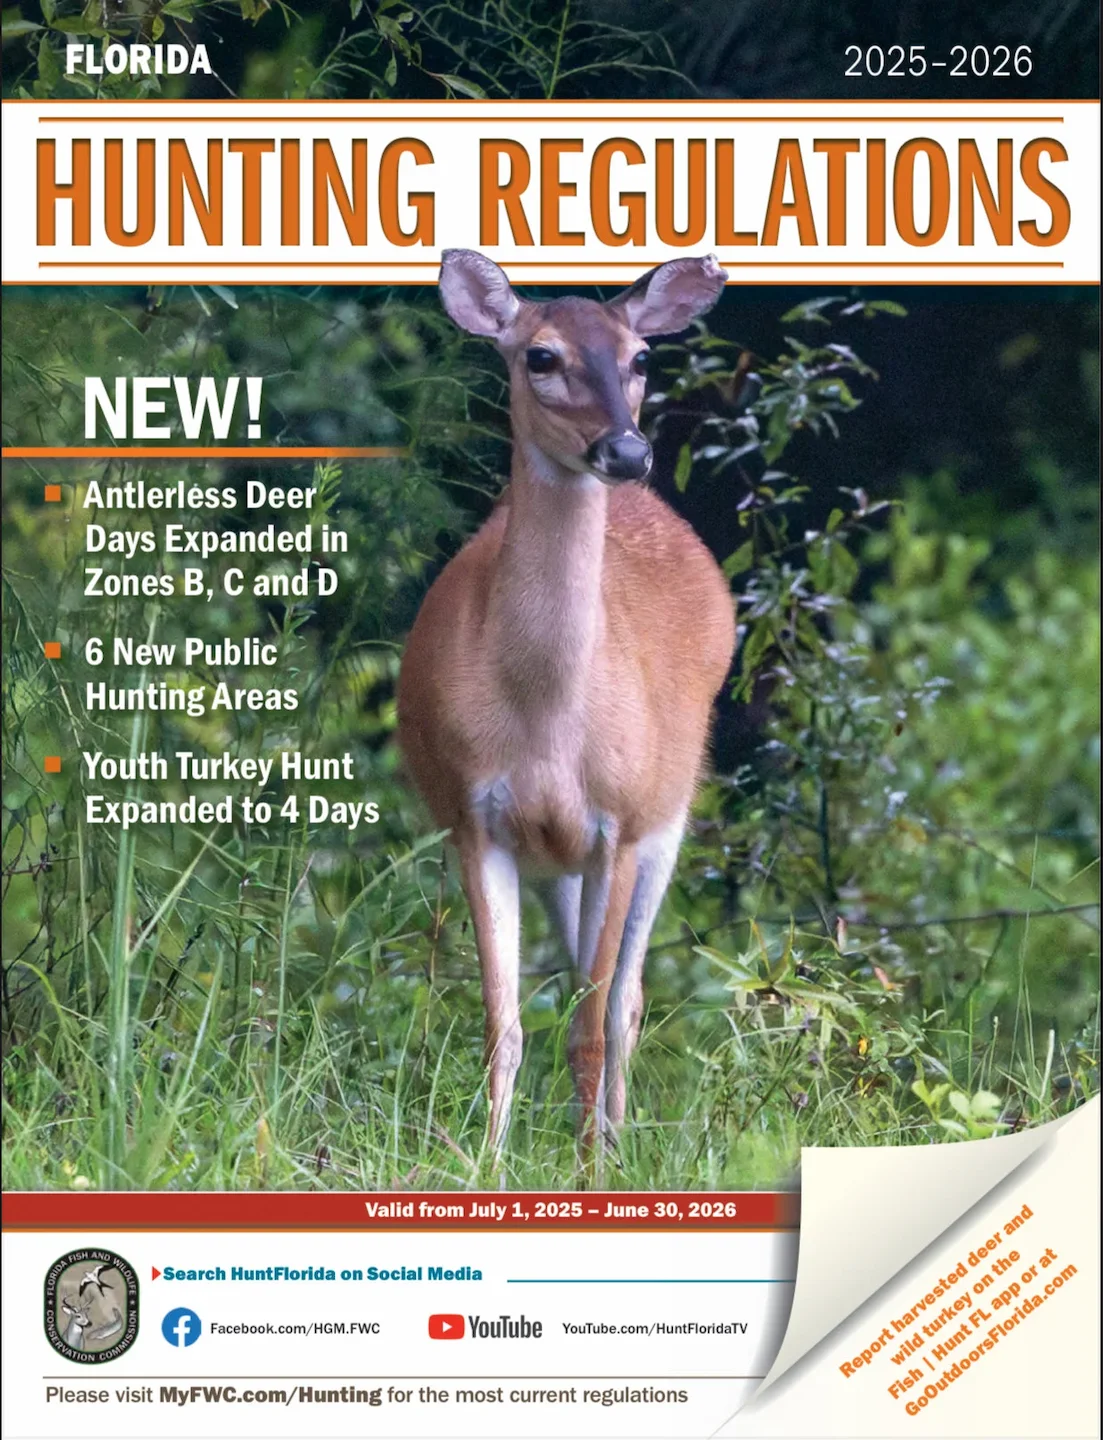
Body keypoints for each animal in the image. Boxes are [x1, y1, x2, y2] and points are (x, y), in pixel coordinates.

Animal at [397, 250, 736, 1157]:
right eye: (539, 356)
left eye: (640, 357)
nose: (624, 449)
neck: (546, 722)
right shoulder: (475, 820)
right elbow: (502, 1023)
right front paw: (485, 1163)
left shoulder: (620, 823)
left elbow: (590, 1023)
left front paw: (591, 1169)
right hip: (559, 864)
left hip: (668, 815)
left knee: (625, 999)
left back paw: (615, 1141)